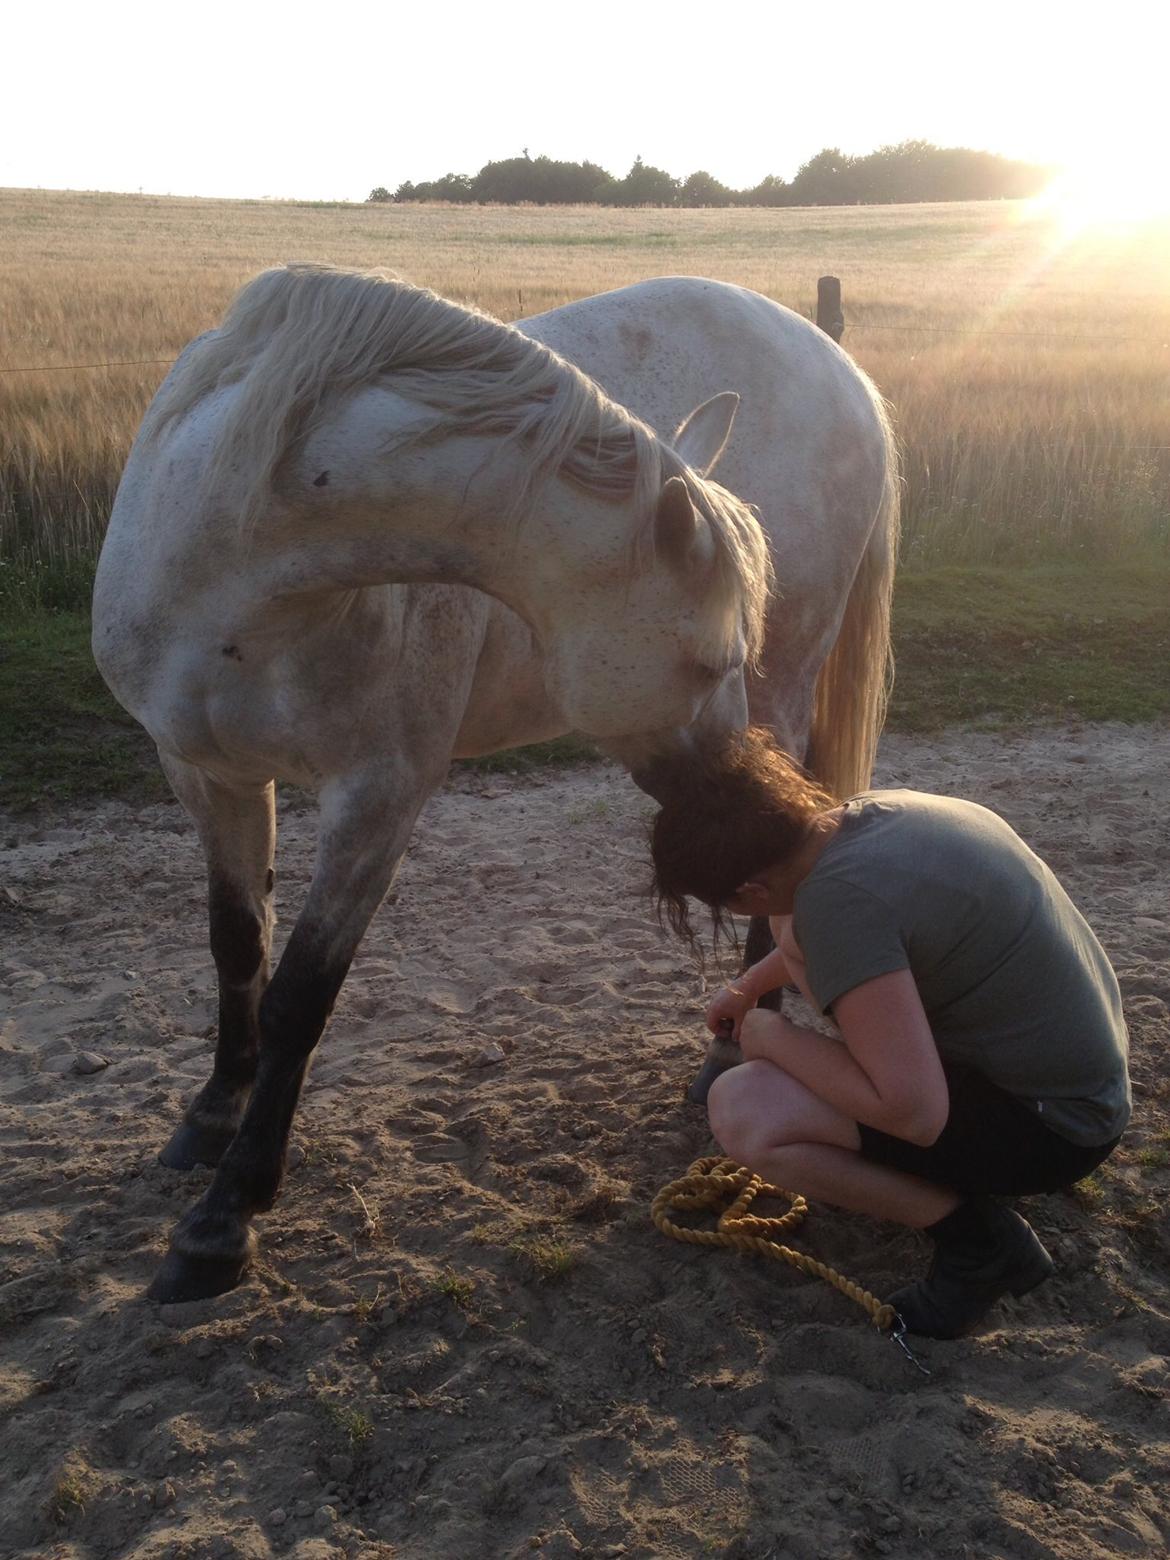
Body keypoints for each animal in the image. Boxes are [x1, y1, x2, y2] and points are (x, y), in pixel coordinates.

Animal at [91, 268, 898, 1304]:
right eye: (708, 657)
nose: (741, 809)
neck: (238, 564)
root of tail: (837, 364)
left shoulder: (379, 797)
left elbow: (301, 996)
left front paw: (224, 1220)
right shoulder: (204, 772)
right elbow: (239, 949)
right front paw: (209, 1120)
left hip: (792, 681)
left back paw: (729, 1048)